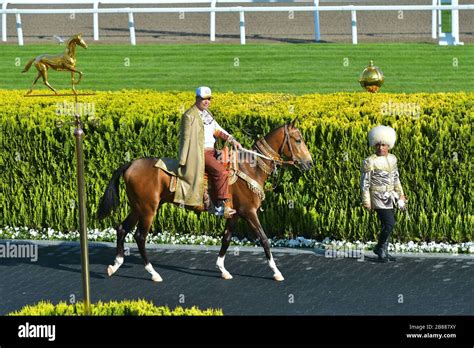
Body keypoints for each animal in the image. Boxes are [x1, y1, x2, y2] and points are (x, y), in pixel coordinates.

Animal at [97, 118, 312, 282]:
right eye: (298, 140)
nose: (309, 163)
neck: (249, 168)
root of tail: (130, 164)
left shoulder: (234, 214)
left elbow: (226, 238)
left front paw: (222, 268)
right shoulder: (249, 212)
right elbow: (264, 239)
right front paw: (276, 271)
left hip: (138, 207)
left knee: (122, 229)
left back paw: (115, 265)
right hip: (149, 209)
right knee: (140, 236)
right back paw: (153, 272)